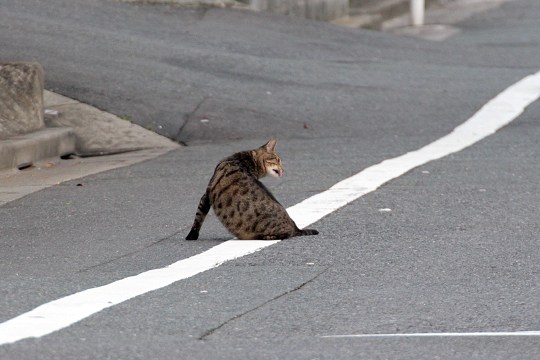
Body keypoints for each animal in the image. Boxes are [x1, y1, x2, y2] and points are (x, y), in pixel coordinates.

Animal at [187, 139, 318, 240]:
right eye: (277, 159)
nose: (283, 169)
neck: (247, 159)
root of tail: (296, 228)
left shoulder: (206, 195)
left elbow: (198, 217)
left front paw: (191, 236)